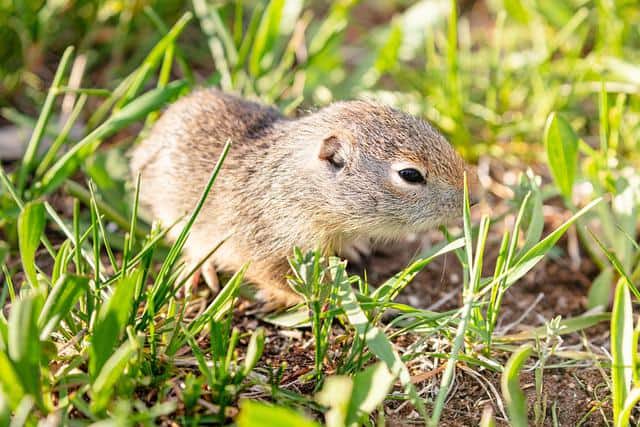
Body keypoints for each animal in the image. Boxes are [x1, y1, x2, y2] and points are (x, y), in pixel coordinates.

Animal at [130, 89, 476, 309]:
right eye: (410, 175)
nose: (471, 199)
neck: (302, 189)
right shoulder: (267, 249)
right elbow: (282, 282)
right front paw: (339, 300)